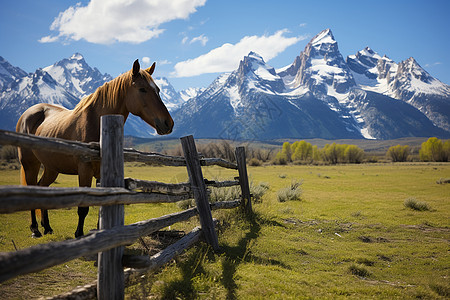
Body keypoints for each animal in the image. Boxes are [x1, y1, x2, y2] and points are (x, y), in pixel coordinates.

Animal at [16, 59, 174, 237]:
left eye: (158, 90)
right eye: (142, 89)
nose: (168, 123)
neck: (97, 123)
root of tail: (27, 114)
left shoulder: (101, 173)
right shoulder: (85, 170)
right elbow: (83, 208)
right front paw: (79, 234)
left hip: (51, 168)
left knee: (42, 188)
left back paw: (47, 227)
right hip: (30, 164)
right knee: (31, 190)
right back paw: (35, 229)